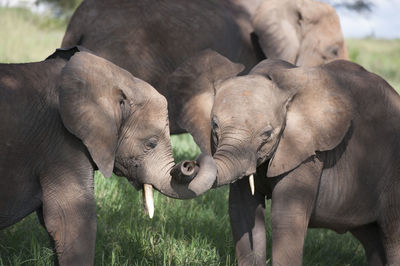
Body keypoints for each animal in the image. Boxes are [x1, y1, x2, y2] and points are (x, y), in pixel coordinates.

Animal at [167, 48, 400, 264]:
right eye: (214, 125)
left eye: (267, 134)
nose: (187, 165)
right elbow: (242, 210)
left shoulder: (306, 151)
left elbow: (286, 215)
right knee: (372, 239)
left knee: (392, 235)